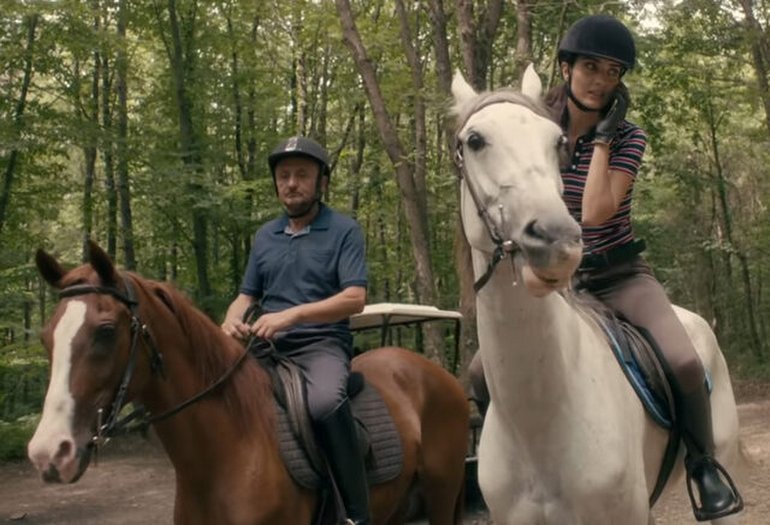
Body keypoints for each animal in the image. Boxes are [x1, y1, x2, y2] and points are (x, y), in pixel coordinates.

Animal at [27, 241, 469, 525]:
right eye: (46, 336)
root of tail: (440, 377)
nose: (48, 453)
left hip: (443, 493)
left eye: (105, 331)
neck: (228, 451)